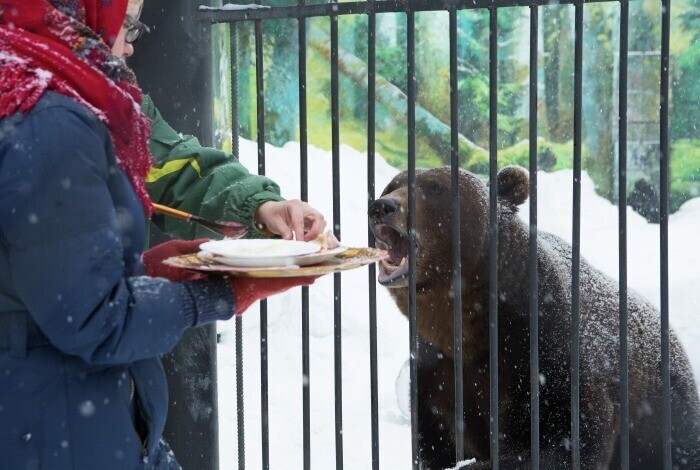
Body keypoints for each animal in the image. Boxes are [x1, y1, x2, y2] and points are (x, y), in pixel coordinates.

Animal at [370, 167, 696, 468]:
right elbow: (437, 437)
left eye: (435, 187)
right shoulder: (436, 368)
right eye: (392, 184)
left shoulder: (548, 348)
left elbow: (568, 436)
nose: (382, 206)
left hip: (663, 406)